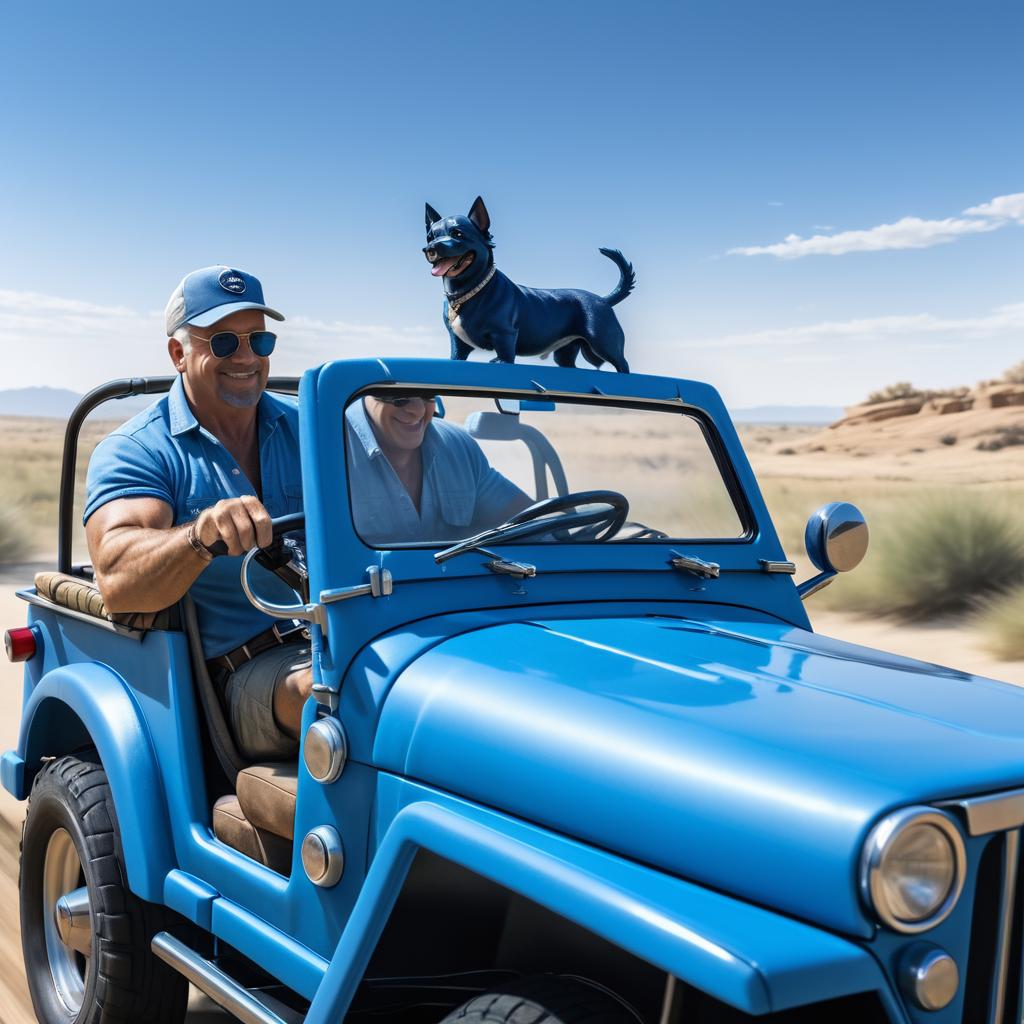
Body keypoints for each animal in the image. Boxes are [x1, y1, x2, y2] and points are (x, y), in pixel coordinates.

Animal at [421, 195, 630, 372]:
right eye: (430, 237)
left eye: (458, 234)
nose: (430, 248)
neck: (467, 290)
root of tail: (604, 300)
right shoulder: (458, 343)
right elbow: (456, 356)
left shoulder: (504, 334)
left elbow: (505, 356)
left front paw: (499, 361)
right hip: (566, 350)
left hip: (604, 342)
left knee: (622, 364)